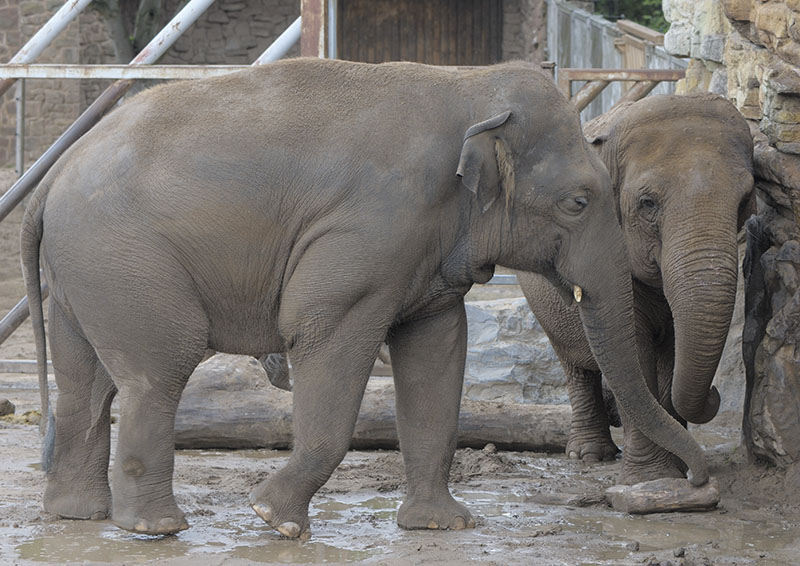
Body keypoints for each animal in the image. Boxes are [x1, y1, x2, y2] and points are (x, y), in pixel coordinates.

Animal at [21, 58, 708, 539]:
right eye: (578, 202)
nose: (699, 483)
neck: (468, 87)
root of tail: (51, 177)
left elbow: (437, 350)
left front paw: (444, 525)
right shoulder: (370, 231)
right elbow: (323, 334)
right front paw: (274, 519)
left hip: (86, 270)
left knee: (86, 382)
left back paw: (78, 516)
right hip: (124, 256)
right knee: (157, 371)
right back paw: (156, 529)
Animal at [518, 93, 754, 484]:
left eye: (746, 201)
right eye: (648, 203)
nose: (716, 393)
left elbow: (672, 352)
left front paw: (677, 467)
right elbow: (636, 352)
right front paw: (652, 478)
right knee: (575, 366)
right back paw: (589, 455)